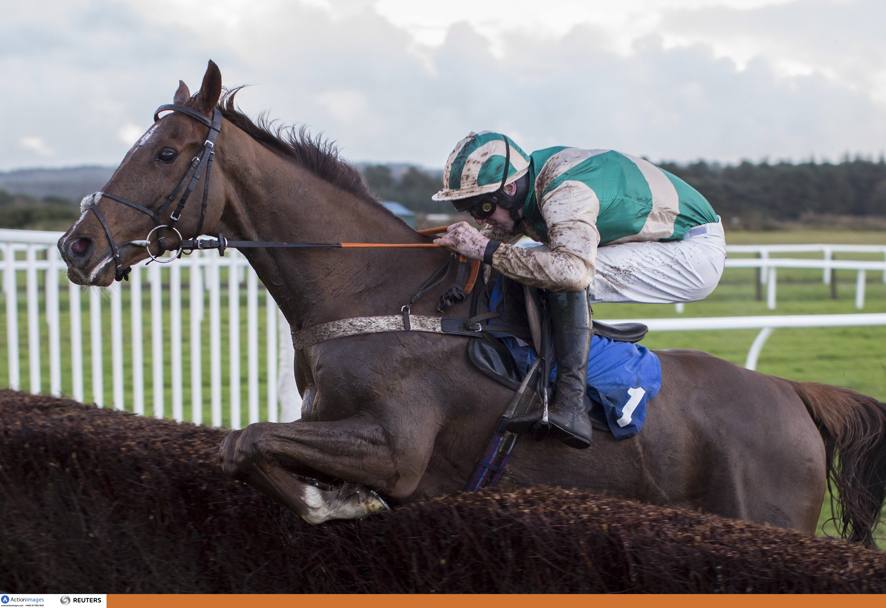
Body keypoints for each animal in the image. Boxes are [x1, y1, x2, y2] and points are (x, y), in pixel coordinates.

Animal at [57, 60, 886, 548]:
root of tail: (790, 392)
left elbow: (249, 440)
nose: (75, 246)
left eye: (165, 153)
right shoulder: (329, 422)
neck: (377, 293)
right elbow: (243, 444)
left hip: (765, 514)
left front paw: (341, 503)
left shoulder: (397, 448)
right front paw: (330, 498)